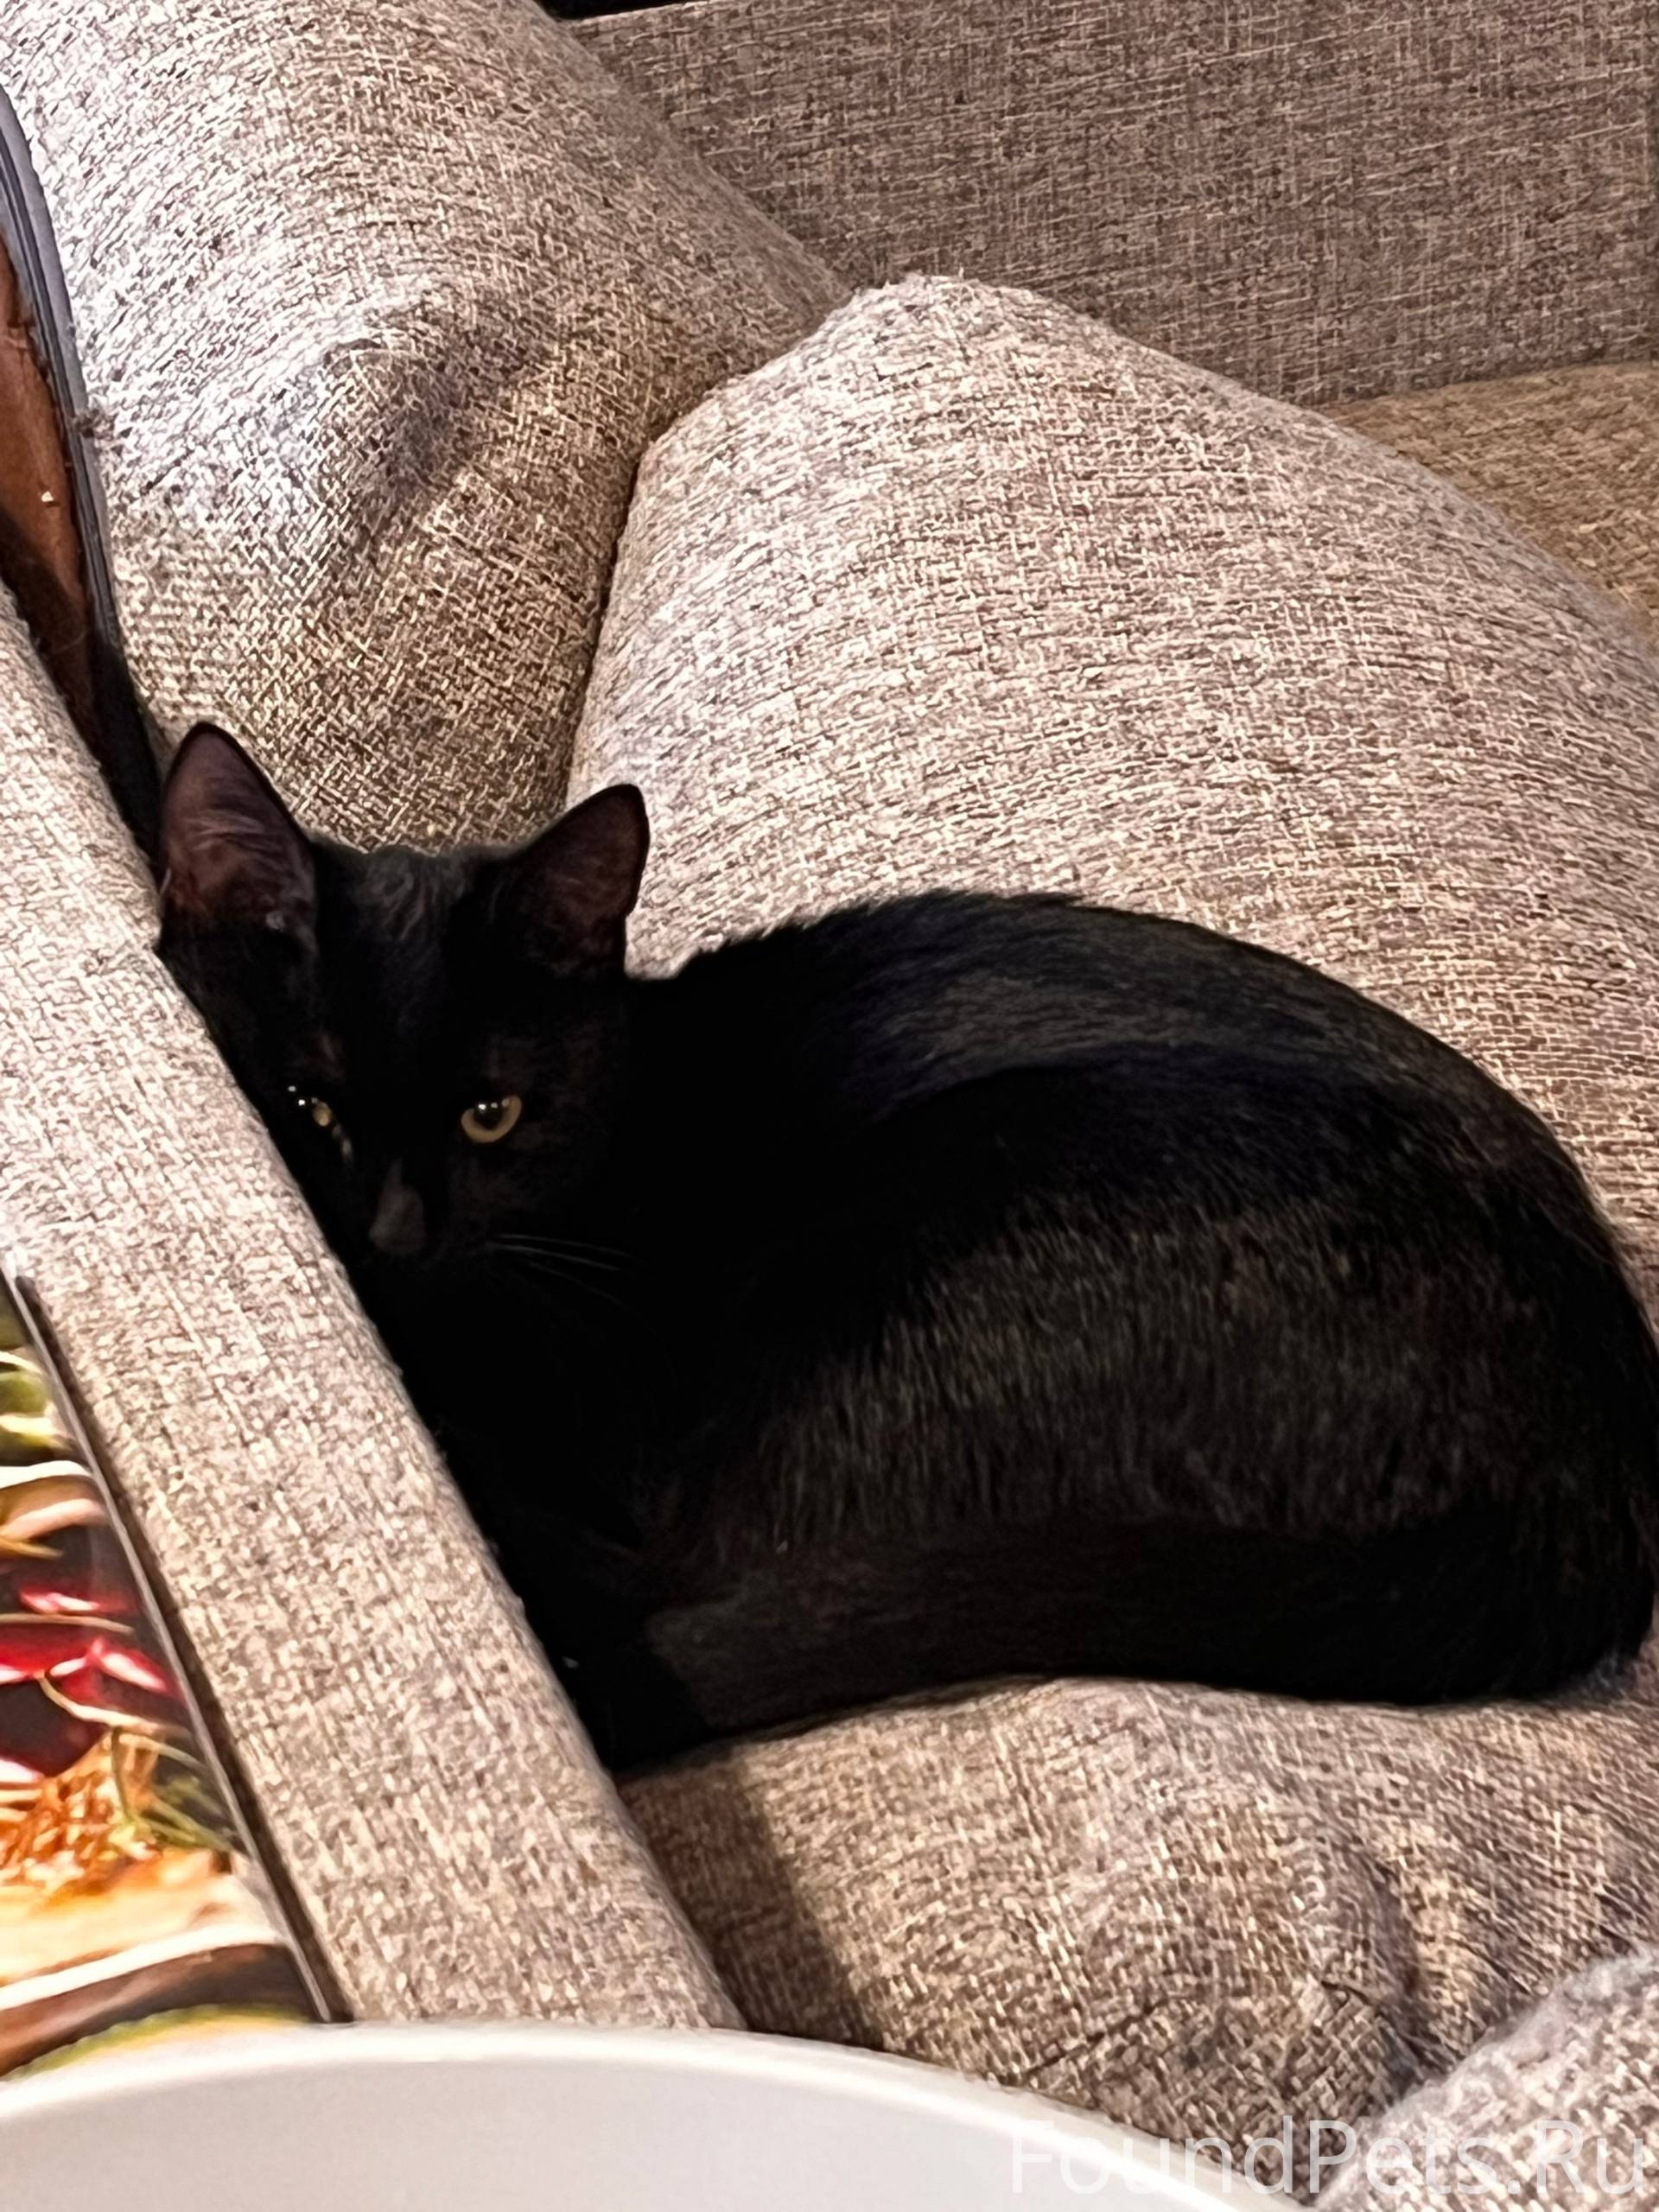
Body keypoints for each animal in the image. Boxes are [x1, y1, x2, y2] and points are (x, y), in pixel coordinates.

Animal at [157, 723, 1659, 1767]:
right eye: (306, 1103)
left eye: (491, 1115)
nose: (391, 1233)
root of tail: (1594, 1472)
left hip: (939, 1213)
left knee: (686, 1570)